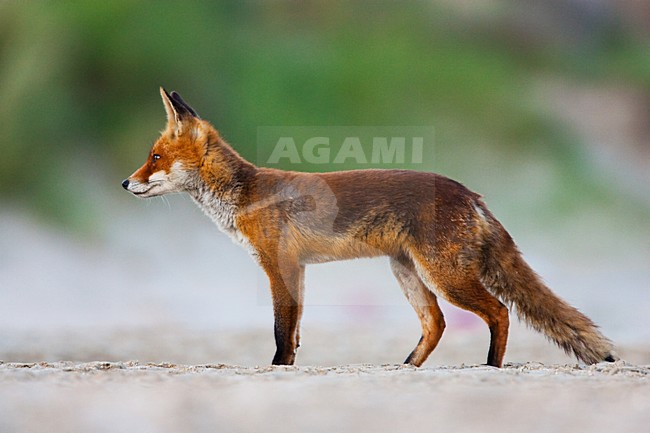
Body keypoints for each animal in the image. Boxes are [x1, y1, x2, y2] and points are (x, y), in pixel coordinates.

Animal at [122, 88, 617, 367]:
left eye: (155, 158)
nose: (125, 182)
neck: (245, 193)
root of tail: (471, 194)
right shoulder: (298, 269)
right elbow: (296, 331)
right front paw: (289, 366)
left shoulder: (280, 267)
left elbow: (282, 330)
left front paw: (278, 369)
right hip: (407, 273)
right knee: (437, 323)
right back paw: (406, 369)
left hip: (445, 276)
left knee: (497, 312)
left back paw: (490, 369)